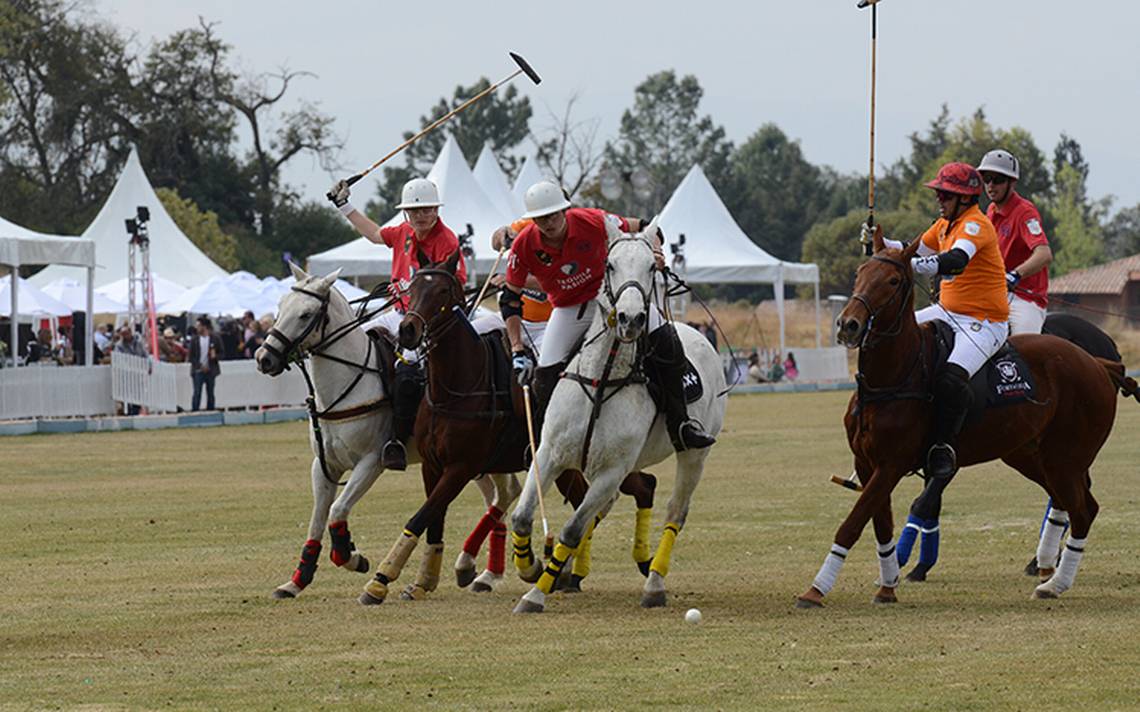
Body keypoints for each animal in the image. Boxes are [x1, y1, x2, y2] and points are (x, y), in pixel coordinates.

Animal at [355, 247, 661, 601]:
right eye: (412, 288)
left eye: (442, 291)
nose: (407, 330)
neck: (457, 386)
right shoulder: (432, 466)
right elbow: (434, 519)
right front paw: (422, 581)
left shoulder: (461, 467)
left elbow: (421, 516)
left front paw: (380, 579)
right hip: (566, 466)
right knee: (595, 502)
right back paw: (566, 571)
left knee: (640, 487)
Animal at [510, 216, 725, 610]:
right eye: (609, 265)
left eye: (651, 267)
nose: (631, 319)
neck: (603, 376)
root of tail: (697, 333)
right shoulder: (549, 454)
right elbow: (521, 516)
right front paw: (530, 567)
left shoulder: (612, 470)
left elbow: (571, 528)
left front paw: (535, 593)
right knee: (607, 507)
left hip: (693, 455)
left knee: (675, 511)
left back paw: (654, 584)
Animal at [798, 227, 1135, 606]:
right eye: (860, 273)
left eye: (893, 280)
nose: (849, 325)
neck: (894, 376)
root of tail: (1099, 362)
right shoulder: (868, 463)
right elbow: (881, 524)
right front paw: (888, 584)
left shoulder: (893, 463)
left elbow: (857, 521)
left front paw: (816, 589)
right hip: (1031, 454)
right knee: (1071, 503)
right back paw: (1048, 569)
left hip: (1066, 457)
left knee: (1082, 510)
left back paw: (1055, 582)